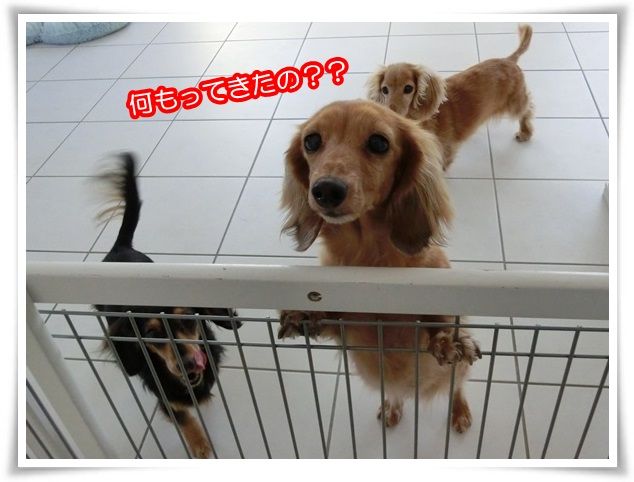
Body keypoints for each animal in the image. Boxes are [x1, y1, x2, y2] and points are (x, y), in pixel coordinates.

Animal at [94, 153, 239, 459]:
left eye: (187, 320)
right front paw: (199, 445)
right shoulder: (165, 396)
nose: (187, 364)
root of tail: (119, 248)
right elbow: (183, 417)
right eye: (151, 334)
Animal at [277, 100, 481, 433]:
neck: (372, 261)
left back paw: (459, 410)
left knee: (457, 388)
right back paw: (392, 407)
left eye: (379, 143)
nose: (326, 190)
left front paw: (446, 339)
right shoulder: (349, 330)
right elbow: (332, 315)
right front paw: (303, 312)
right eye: (312, 141)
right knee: (395, 393)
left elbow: (438, 320)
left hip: (457, 374)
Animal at [367, 24, 534, 170]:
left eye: (408, 88)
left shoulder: (445, 151)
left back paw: (525, 132)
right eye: (384, 89)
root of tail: (509, 60)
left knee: (527, 110)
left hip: (514, 103)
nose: (389, 113)